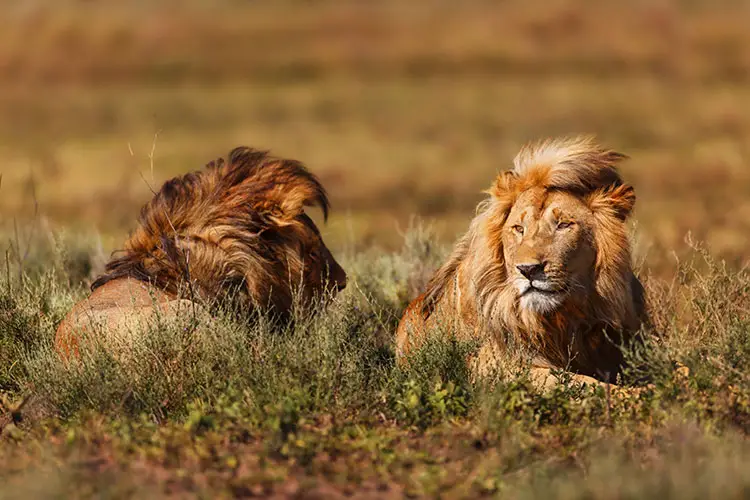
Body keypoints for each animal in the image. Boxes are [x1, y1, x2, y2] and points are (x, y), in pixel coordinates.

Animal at [396, 135, 648, 384]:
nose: (528, 270)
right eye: (518, 228)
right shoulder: (491, 364)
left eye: (563, 224)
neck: (560, 322)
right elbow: (580, 383)